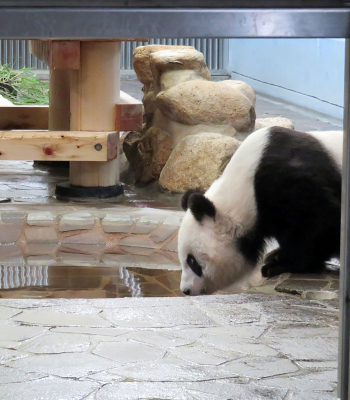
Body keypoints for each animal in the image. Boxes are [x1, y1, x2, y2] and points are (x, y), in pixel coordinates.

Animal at [179, 126, 344, 296]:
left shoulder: (288, 181)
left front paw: (279, 265)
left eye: (192, 261)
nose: (186, 290)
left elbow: (320, 222)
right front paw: (275, 256)